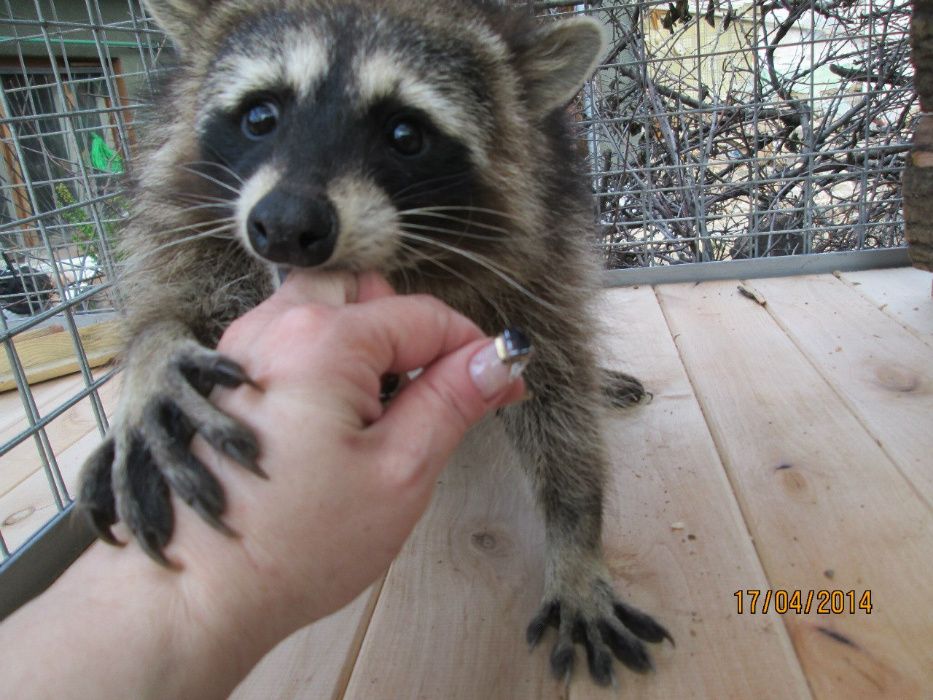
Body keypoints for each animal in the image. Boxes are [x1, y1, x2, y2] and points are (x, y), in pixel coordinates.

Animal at [74, 0, 668, 688]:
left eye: (406, 134)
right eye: (259, 117)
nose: (285, 226)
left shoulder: (540, 246)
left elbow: (557, 387)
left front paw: (575, 532)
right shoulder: (183, 204)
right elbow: (171, 283)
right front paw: (156, 347)